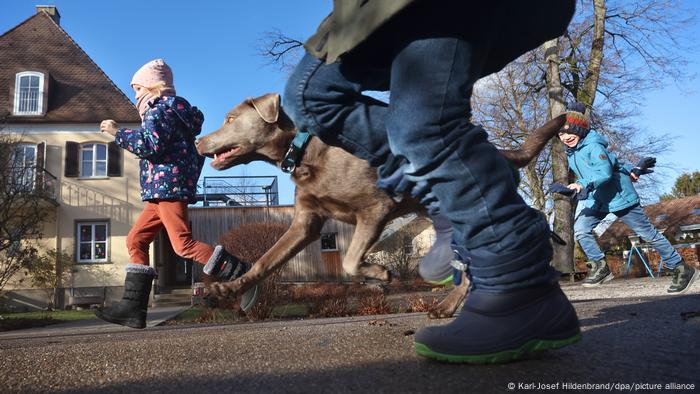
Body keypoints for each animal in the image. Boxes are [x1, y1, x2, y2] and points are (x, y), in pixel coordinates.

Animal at [194, 94, 568, 318]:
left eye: (230, 119)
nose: (198, 140)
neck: (304, 152)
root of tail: (502, 154)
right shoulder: (305, 224)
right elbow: (265, 260)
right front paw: (225, 289)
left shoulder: (374, 208)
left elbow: (348, 260)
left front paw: (380, 274)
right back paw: (448, 307)